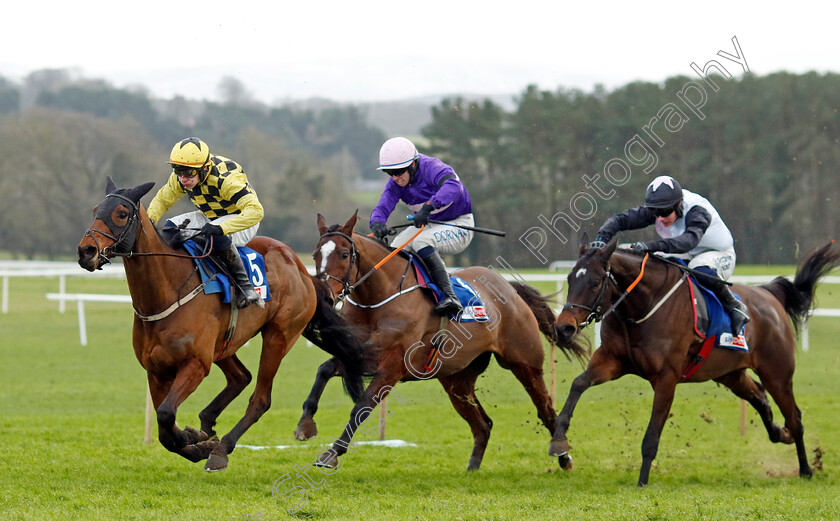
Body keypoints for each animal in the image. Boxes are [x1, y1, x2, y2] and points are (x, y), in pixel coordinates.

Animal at [78, 178, 364, 472]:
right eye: (95, 210)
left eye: (122, 214)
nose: (86, 250)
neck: (167, 292)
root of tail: (301, 268)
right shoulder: (156, 371)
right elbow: (165, 429)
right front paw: (196, 440)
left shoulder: (195, 364)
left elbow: (166, 415)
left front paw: (198, 442)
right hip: (224, 343)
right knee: (241, 377)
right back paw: (208, 424)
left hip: (279, 336)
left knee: (260, 399)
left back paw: (221, 448)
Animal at [306, 209, 588, 470]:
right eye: (315, 255)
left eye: (344, 254)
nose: (326, 295)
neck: (377, 299)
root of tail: (510, 289)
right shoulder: (356, 353)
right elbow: (323, 370)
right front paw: (305, 423)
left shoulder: (392, 366)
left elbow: (361, 407)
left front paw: (332, 452)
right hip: (457, 378)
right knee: (483, 424)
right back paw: (472, 468)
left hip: (525, 364)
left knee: (545, 410)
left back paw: (563, 455)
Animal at [552, 234, 840, 486]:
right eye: (569, 278)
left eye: (595, 282)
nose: (564, 328)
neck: (642, 307)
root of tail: (769, 294)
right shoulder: (612, 360)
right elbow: (578, 384)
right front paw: (558, 441)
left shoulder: (666, 379)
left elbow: (652, 436)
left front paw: (642, 482)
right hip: (731, 374)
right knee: (760, 397)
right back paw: (781, 433)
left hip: (777, 373)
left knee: (795, 416)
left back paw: (806, 469)